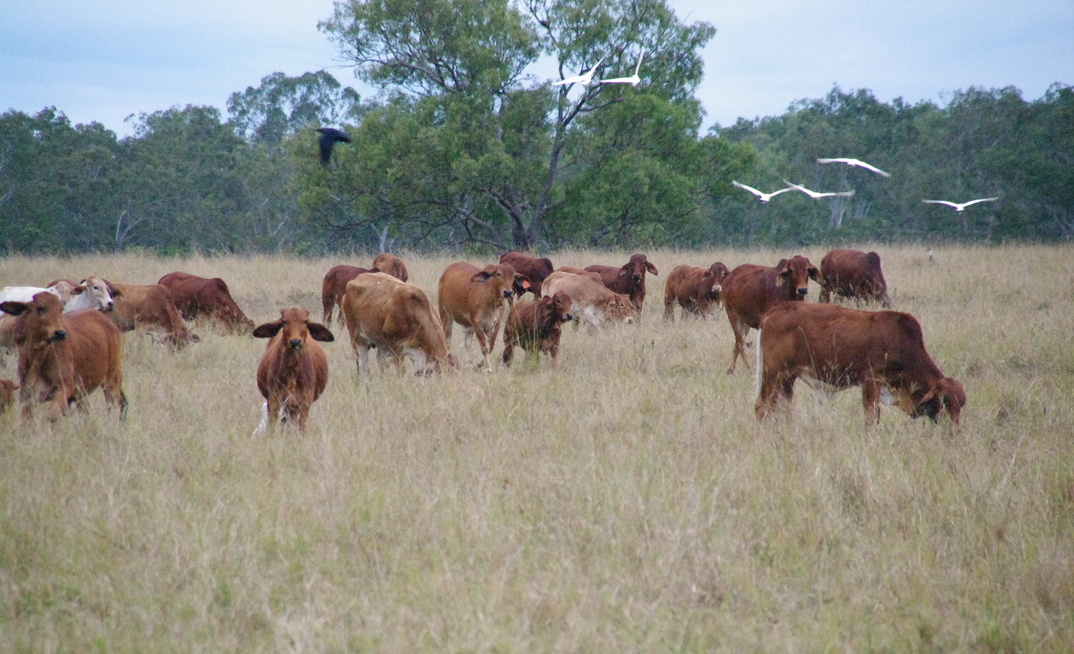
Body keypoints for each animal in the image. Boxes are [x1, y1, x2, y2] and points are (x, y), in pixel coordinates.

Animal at [0, 292, 127, 420]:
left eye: (60, 310)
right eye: (41, 308)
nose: (60, 333)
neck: (38, 358)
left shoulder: (65, 386)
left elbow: (52, 415)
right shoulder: (26, 395)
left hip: (112, 379)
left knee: (115, 405)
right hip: (83, 393)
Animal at [755, 302, 966, 425]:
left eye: (961, 405)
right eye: (945, 402)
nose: (953, 430)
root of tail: (774, 311)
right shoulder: (871, 380)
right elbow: (872, 418)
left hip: (788, 378)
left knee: (783, 409)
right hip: (772, 374)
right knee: (762, 408)